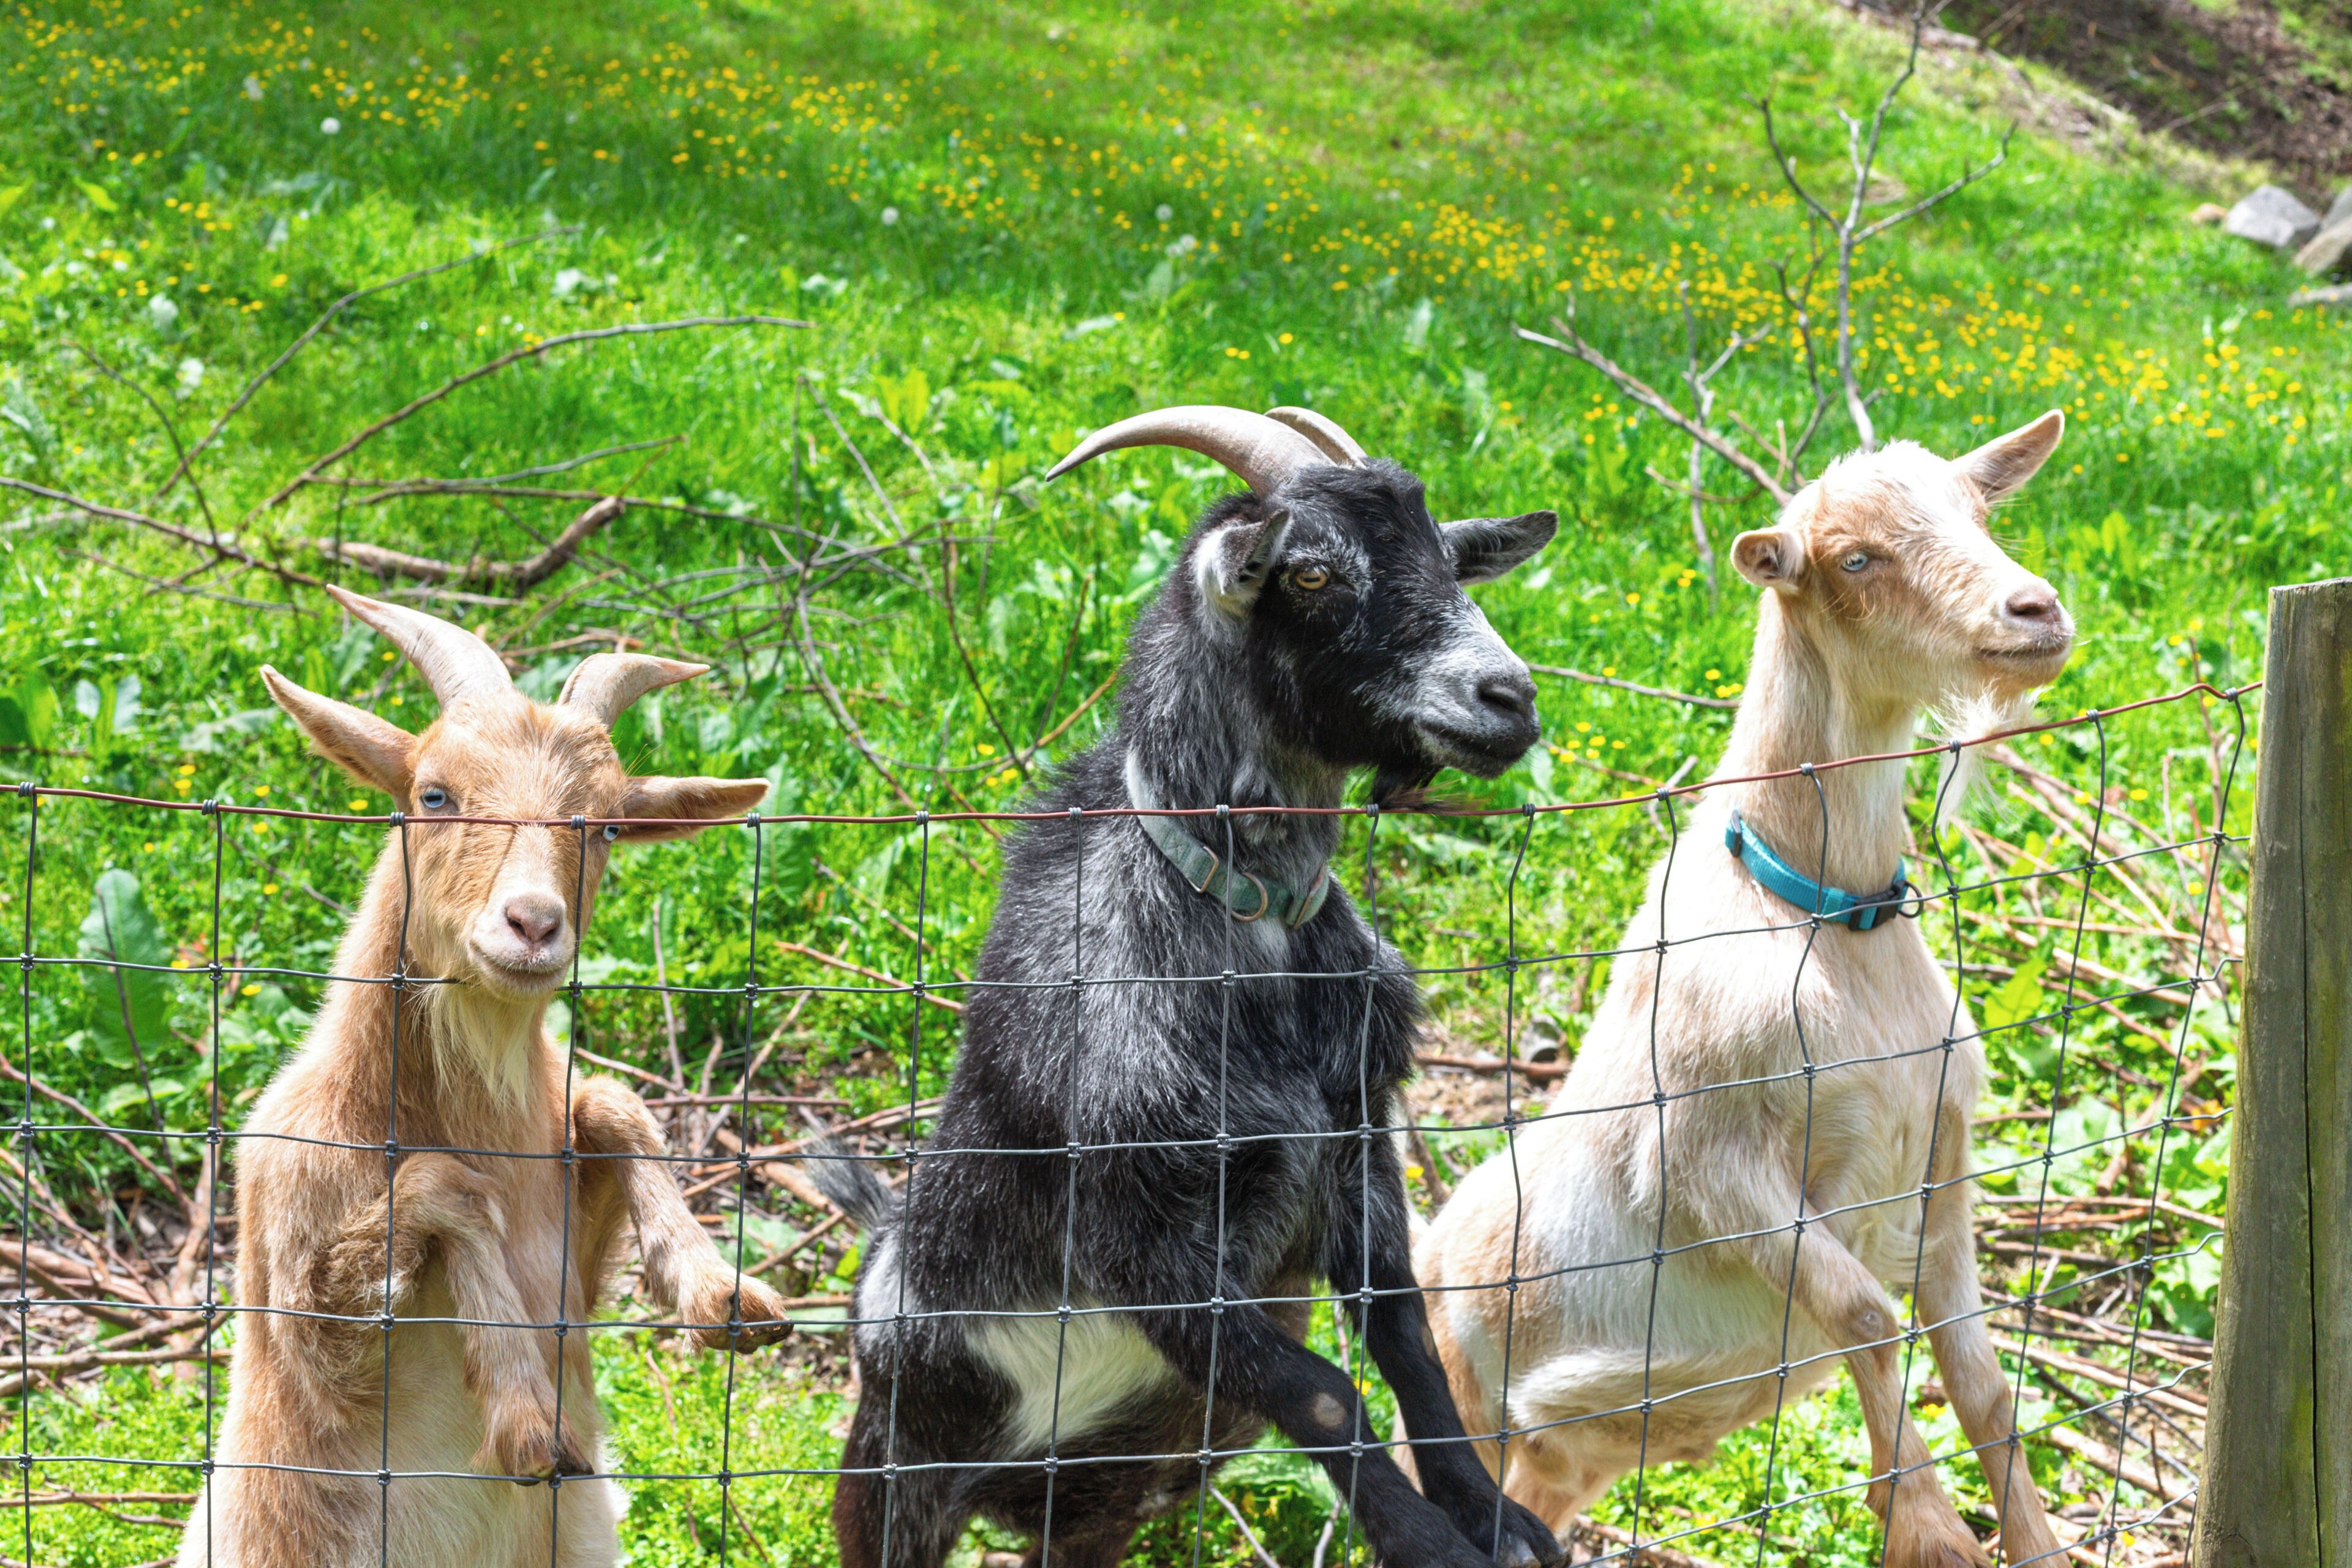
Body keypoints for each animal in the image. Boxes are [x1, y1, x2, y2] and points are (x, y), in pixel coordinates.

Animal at [179, 588, 788, 1568]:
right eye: (434, 794)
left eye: (605, 823)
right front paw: (527, 1415)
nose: (533, 924)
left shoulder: (572, 1253)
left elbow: (610, 1103)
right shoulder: (301, 1282)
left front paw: (720, 1291)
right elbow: (440, 1188)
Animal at [811, 405, 1567, 1568]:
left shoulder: (1356, 1144)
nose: (1508, 698)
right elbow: (1322, 1393)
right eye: (1309, 573)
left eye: (1447, 557)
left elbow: (1404, 1335)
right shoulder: (1137, 1236)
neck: (1247, 926)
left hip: (1117, 1489)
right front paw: (1428, 1543)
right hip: (896, 1472)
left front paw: (1496, 1519)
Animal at [1413, 414, 2074, 1568]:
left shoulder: (1940, 1167)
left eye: (1979, 513)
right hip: (1457, 1417)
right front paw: (1929, 1528)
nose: (2033, 612)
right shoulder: (1714, 1167)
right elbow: (1866, 1316)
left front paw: (2033, 1543)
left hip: (1563, 1459)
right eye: (1854, 559)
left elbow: (1983, 1382)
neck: (1820, 916)